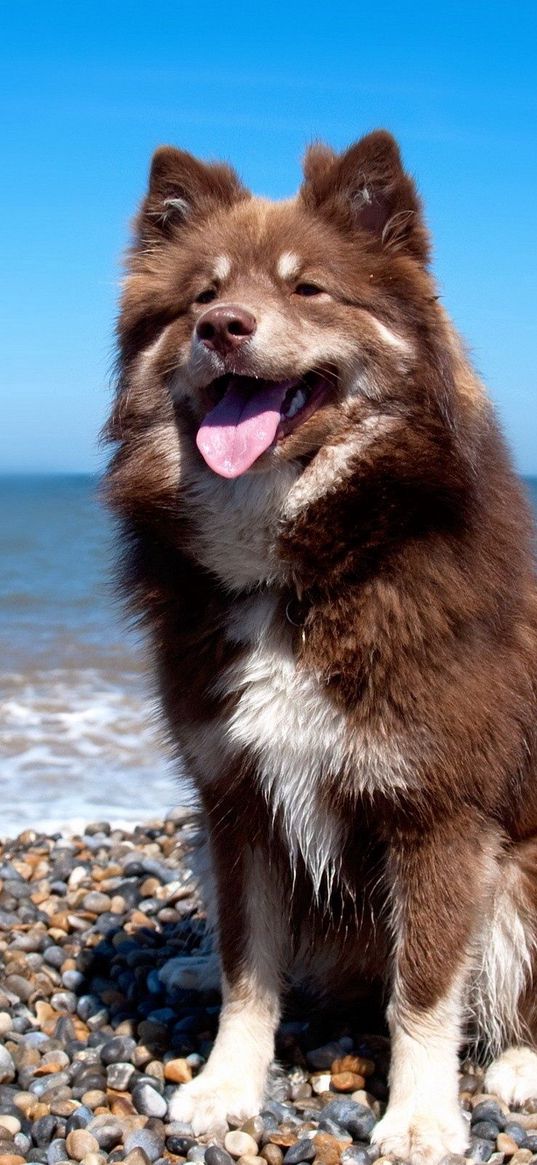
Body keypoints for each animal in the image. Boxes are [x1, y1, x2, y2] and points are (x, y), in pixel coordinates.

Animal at [103, 132, 535, 1160]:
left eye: (309, 290)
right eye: (202, 294)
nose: (223, 327)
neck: (298, 575)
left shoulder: (440, 813)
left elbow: (423, 991)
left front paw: (419, 1116)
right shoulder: (237, 800)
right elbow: (248, 969)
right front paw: (225, 1085)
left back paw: (517, 1064)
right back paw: (185, 965)